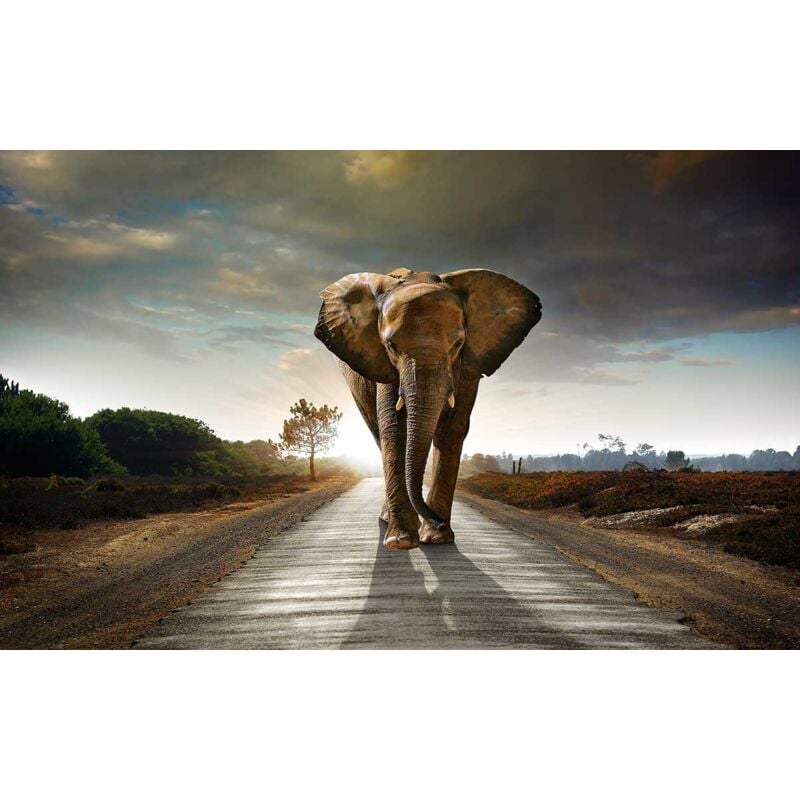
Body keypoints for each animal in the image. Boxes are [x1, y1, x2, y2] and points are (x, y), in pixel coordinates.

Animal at [314, 267, 541, 550]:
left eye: (457, 344)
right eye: (391, 346)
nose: (438, 520)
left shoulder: (469, 366)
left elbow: (452, 430)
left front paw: (436, 538)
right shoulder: (384, 366)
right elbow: (394, 430)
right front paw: (401, 541)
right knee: (378, 434)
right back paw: (388, 520)